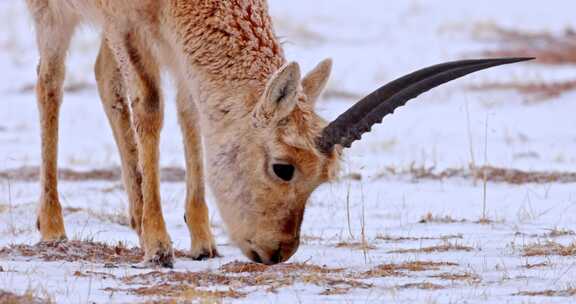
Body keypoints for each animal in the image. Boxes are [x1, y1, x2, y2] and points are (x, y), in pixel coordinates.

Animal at [27, 0, 532, 266]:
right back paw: (53, 227)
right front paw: (157, 245)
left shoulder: (169, 37)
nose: (278, 252)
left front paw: (201, 240)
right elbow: (149, 106)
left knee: (103, 75)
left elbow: (191, 111)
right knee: (50, 82)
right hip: (52, 15)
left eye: (321, 179)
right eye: (283, 168)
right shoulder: (126, 20)